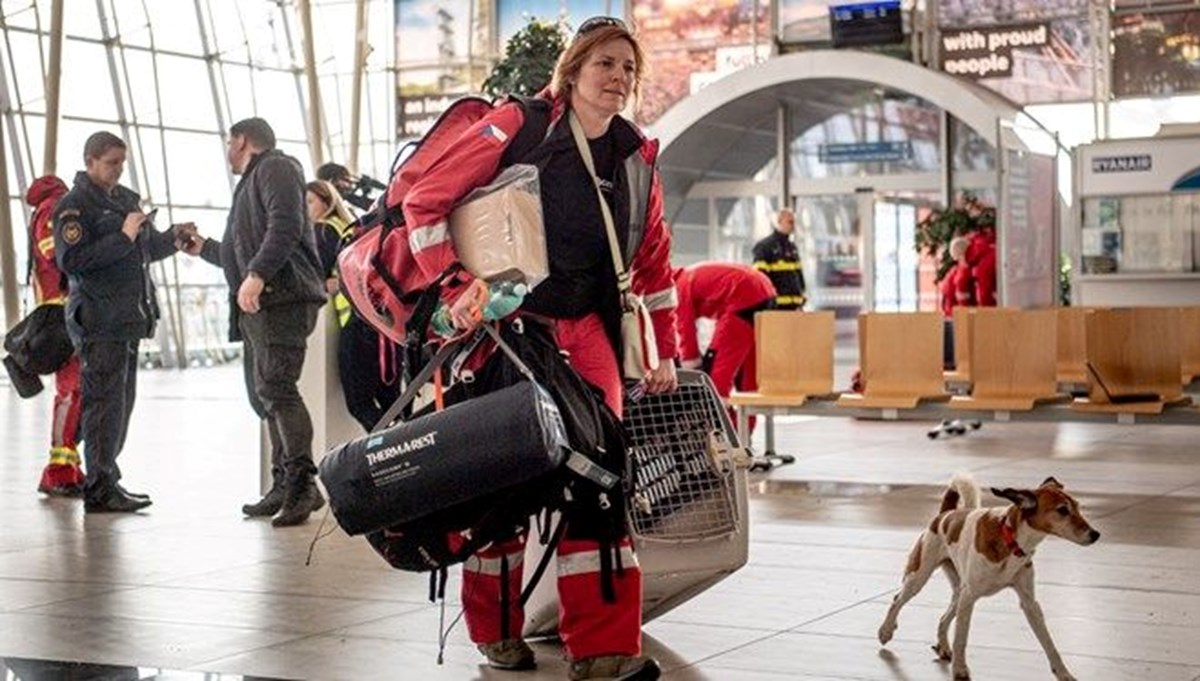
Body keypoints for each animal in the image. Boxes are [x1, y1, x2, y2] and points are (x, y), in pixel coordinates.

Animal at [878, 472, 1099, 681]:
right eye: (1062, 510)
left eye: (1078, 507)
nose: (1096, 534)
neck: (1011, 540)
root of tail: (945, 514)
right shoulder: (969, 597)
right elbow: (961, 638)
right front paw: (960, 669)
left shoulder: (1029, 604)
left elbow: (1049, 643)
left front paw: (1063, 673)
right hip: (920, 577)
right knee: (897, 599)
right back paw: (886, 630)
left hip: (959, 593)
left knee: (943, 618)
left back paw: (943, 646)